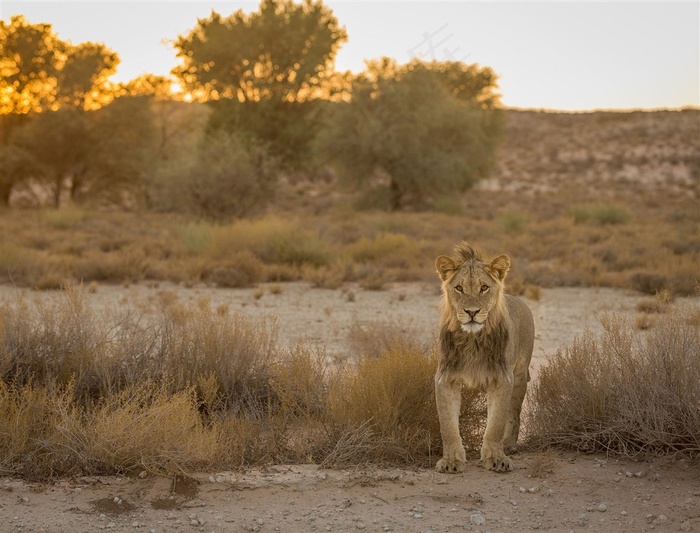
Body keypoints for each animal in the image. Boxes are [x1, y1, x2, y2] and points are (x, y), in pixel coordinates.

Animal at [432, 242, 536, 474]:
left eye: (484, 288)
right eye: (459, 288)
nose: (472, 312)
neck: (472, 340)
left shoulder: (502, 378)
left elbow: (496, 422)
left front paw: (497, 457)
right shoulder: (446, 378)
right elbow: (447, 425)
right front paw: (451, 460)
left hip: (519, 376)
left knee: (514, 413)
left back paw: (509, 444)